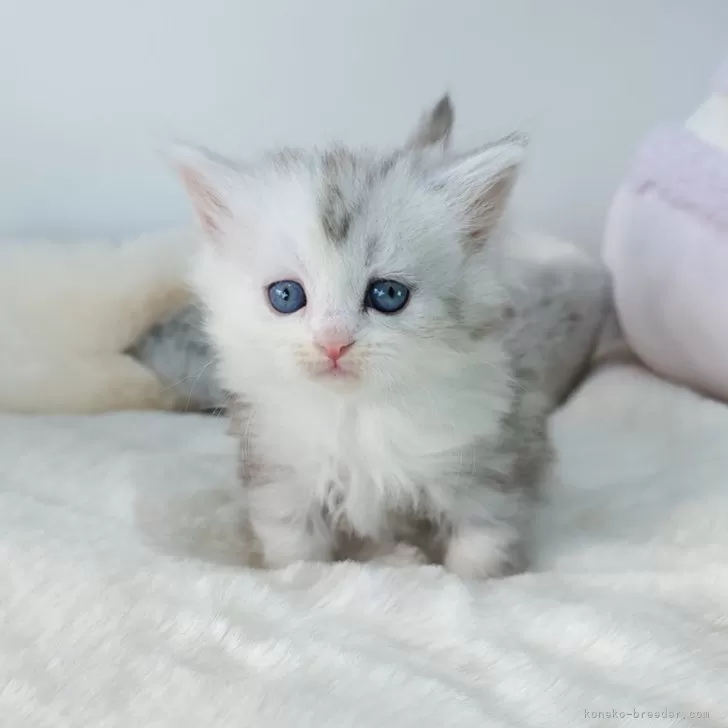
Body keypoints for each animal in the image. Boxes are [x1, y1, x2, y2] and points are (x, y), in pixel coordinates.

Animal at [173, 96, 556, 576]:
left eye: (388, 294)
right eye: (285, 295)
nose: (333, 342)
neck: (356, 416)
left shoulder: (490, 464)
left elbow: (479, 544)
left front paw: (476, 581)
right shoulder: (278, 470)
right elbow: (294, 547)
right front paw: (299, 579)